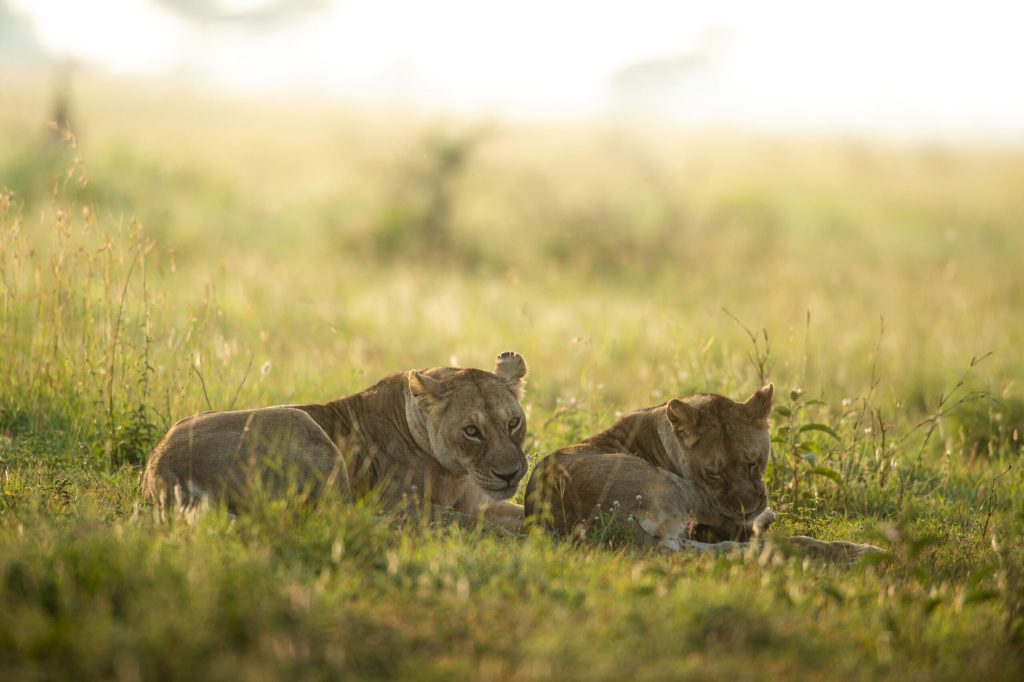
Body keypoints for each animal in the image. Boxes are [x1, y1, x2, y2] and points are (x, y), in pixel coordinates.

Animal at [142, 351, 530, 531]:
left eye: (513, 423)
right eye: (471, 431)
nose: (511, 474)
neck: (455, 473)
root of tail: (159, 469)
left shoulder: (480, 500)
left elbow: (520, 512)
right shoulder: (399, 500)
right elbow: (460, 519)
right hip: (302, 425)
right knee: (336, 516)